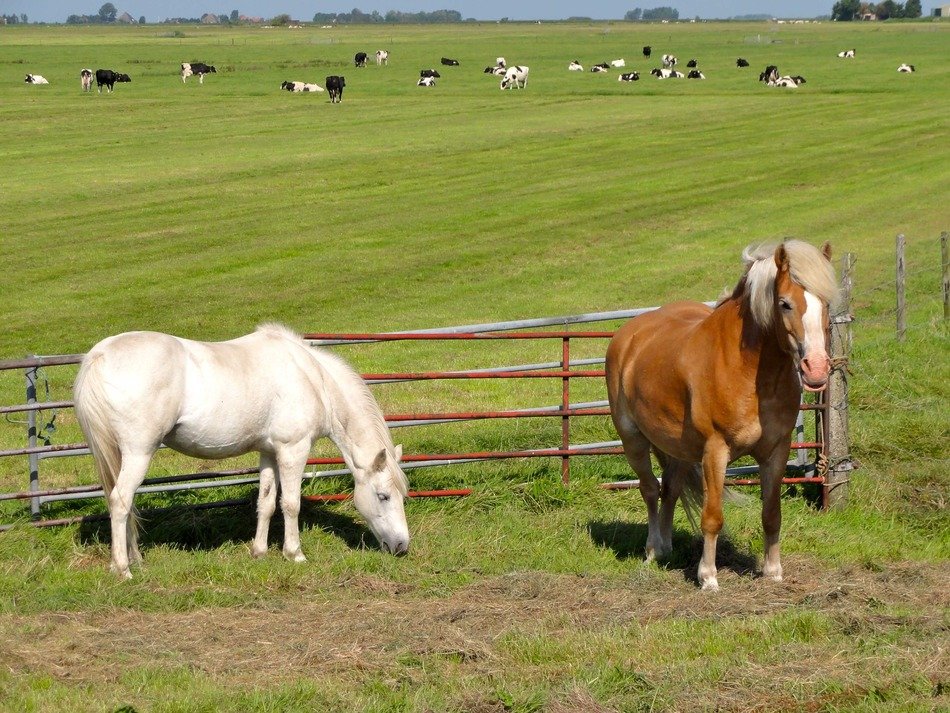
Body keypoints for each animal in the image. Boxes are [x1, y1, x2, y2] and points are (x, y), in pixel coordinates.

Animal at [73, 323, 410, 579]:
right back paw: (123, 569)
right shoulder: (293, 450)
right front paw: (295, 553)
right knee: (120, 501)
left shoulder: (269, 452)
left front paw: (259, 551)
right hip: (139, 452)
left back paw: (135, 559)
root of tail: (101, 354)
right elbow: (291, 504)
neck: (314, 379)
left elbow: (267, 503)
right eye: (383, 496)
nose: (402, 547)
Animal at [605, 241, 837, 591]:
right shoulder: (716, 451)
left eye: (825, 302)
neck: (749, 372)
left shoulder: (776, 451)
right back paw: (653, 550)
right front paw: (708, 577)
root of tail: (629, 335)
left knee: (669, 489)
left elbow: (772, 513)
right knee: (649, 489)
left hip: (677, 448)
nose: (817, 369)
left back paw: (667, 547)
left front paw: (773, 571)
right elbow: (712, 517)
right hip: (633, 440)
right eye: (784, 303)